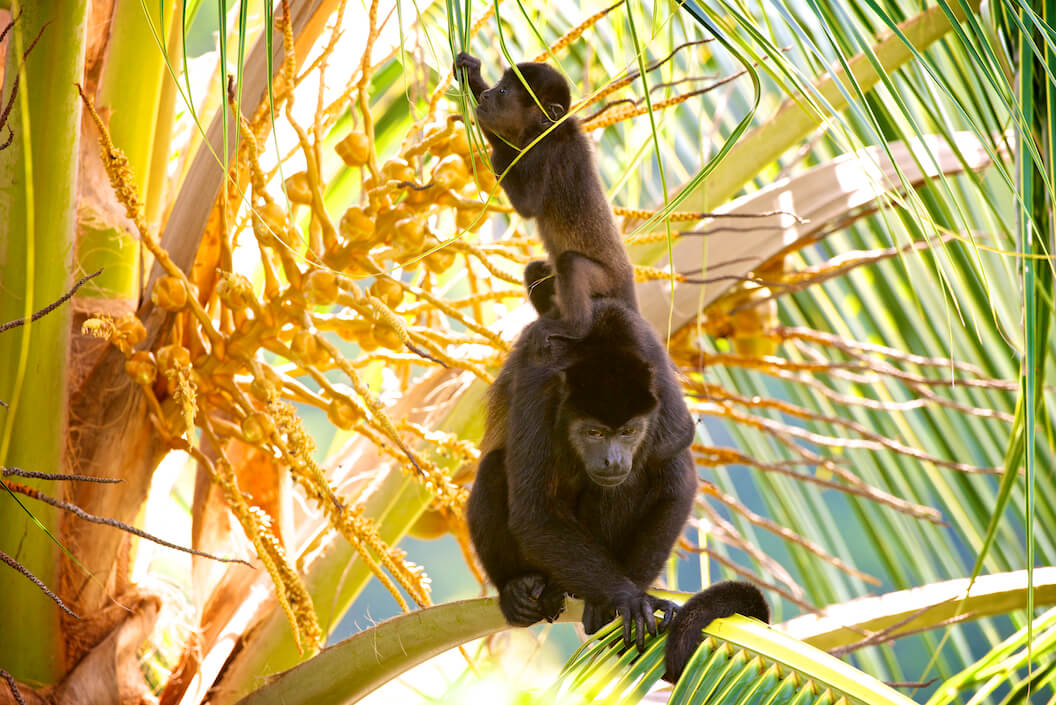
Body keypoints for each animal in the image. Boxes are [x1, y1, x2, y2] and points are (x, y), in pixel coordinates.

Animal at [455, 52, 636, 335]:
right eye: (497, 85)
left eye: (503, 91)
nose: (485, 96)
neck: (545, 130)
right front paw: (470, 73)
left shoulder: (545, 151)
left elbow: (527, 205)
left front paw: (495, 148)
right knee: (534, 271)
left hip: (608, 282)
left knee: (571, 264)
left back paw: (574, 327)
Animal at [467, 298, 698, 651]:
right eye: (594, 433)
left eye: (629, 431)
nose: (613, 460)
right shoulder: (538, 389)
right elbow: (535, 513)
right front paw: (628, 597)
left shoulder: (658, 379)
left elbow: (675, 488)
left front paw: (635, 598)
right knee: (493, 468)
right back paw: (517, 588)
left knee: (623, 484)